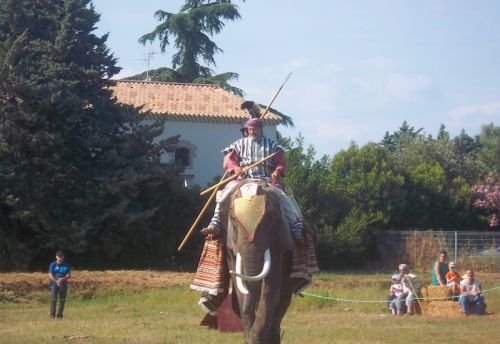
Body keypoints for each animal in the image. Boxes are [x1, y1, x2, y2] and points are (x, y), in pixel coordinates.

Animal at [218, 180, 296, 344]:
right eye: (232, 219)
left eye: (271, 219)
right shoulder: (229, 244)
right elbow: (240, 288)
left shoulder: (279, 242)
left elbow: (270, 290)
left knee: (282, 301)